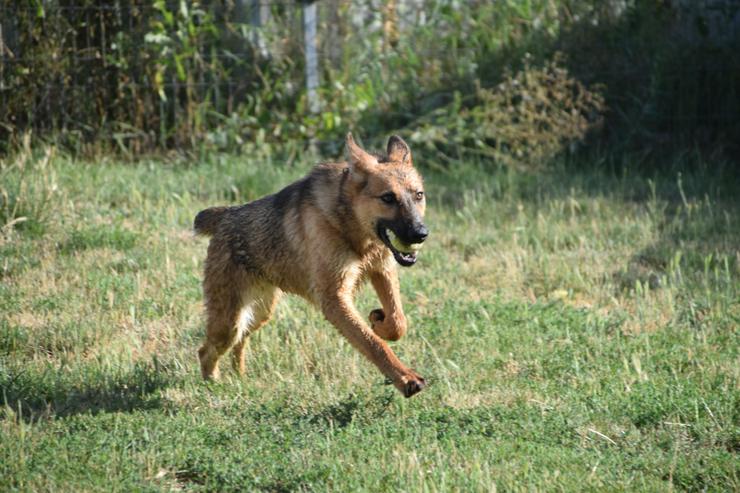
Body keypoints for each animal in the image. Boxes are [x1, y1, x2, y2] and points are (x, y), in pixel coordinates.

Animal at [194, 134, 430, 396]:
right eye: (388, 198)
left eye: (419, 195)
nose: (421, 234)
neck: (347, 222)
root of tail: (225, 216)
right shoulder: (334, 299)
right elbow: (374, 344)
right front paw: (406, 379)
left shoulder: (381, 269)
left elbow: (398, 322)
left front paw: (380, 321)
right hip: (229, 323)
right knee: (206, 351)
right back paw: (212, 386)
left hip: (259, 313)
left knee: (240, 342)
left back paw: (240, 378)